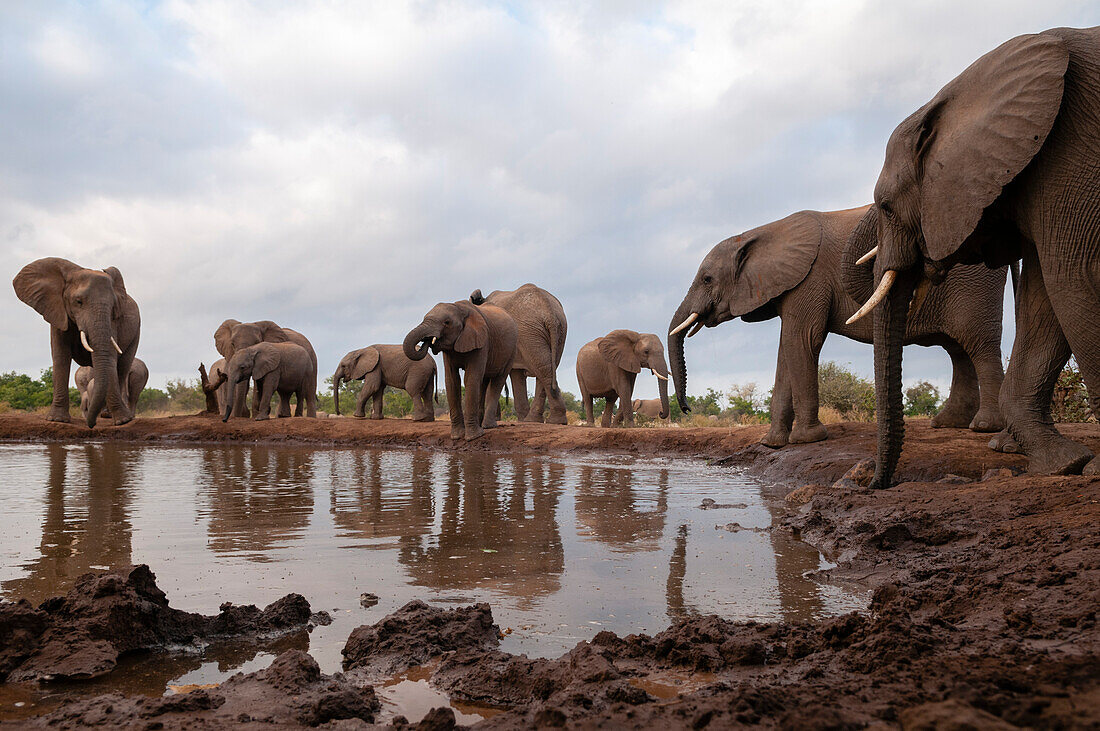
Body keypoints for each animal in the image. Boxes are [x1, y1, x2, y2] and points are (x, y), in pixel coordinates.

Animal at [12, 256, 139, 428]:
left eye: (114, 306)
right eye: (78, 302)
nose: (91, 425)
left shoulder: (113, 322)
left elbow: (110, 358)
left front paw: (123, 421)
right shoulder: (57, 311)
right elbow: (60, 357)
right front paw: (57, 419)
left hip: (136, 332)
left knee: (122, 367)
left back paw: (112, 416)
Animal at [404, 298, 519, 439]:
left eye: (447, 323)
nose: (427, 341)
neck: (459, 308)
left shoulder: (481, 341)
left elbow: (471, 378)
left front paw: (473, 437)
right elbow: (452, 380)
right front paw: (457, 436)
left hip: (511, 351)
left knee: (498, 381)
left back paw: (488, 426)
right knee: (483, 381)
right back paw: (481, 424)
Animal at [468, 283, 567, 424]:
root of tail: (549, 313)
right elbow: (516, 373)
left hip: (529, 332)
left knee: (543, 369)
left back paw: (545, 421)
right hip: (555, 332)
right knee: (547, 368)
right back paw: (537, 420)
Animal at [664, 203, 1007, 444]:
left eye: (707, 279)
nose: (687, 409)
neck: (760, 232)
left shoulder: (810, 279)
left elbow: (803, 340)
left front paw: (806, 440)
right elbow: (786, 348)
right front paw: (772, 444)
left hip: (976, 283)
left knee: (979, 345)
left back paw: (984, 427)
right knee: (958, 350)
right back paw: (949, 423)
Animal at [840, 27, 1100, 483]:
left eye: (886, 206)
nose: (872, 482)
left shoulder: (1071, 154)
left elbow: (1075, 280)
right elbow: (1045, 303)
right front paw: (1064, 462)